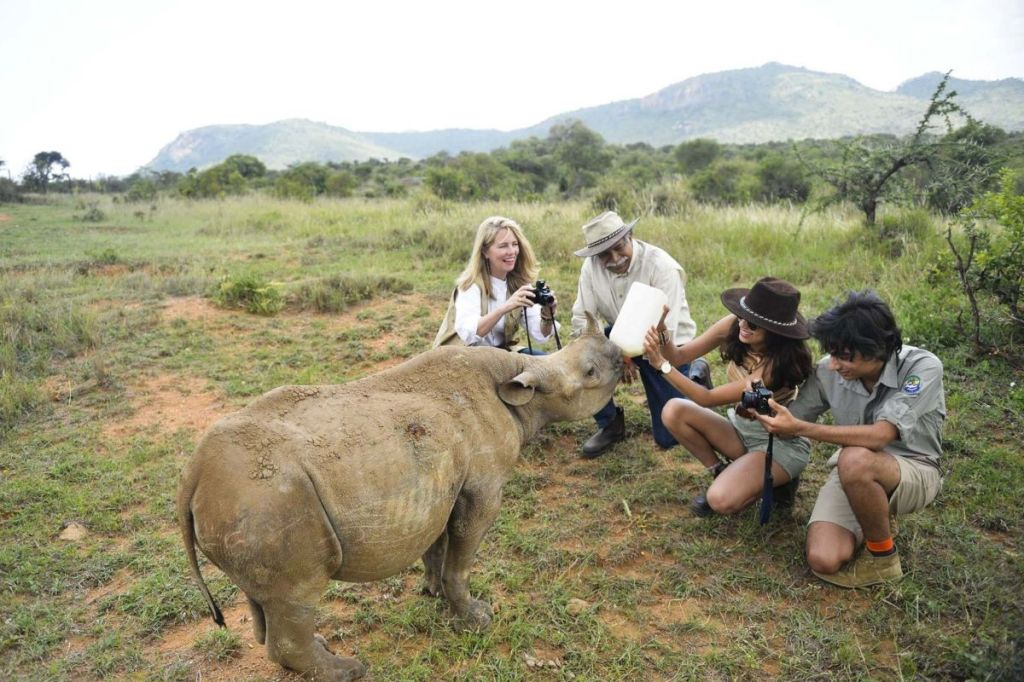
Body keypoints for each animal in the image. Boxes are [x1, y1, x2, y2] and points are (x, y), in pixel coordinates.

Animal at [177, 314, 622, 680]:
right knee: (297, 592)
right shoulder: (482, 490)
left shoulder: (442, 485)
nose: (620, 355)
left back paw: (321, 652)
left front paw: (433, 592)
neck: (525, 389)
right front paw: (477, 618)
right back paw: (349, 670)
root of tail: (192, 478)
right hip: (269, 502)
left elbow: (436, 545)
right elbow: (462, 555)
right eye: (591, 372)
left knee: (263, 599)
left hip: (248, 506)